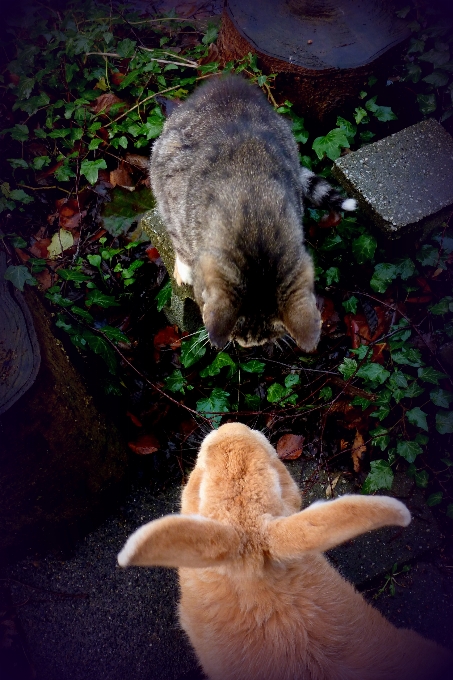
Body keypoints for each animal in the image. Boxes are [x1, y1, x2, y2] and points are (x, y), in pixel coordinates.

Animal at [150, 75, 354, 350]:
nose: (248, 347)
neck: (255, 224)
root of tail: (227, 81)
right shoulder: (172, 194)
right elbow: (181, 242)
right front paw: (185, 269)